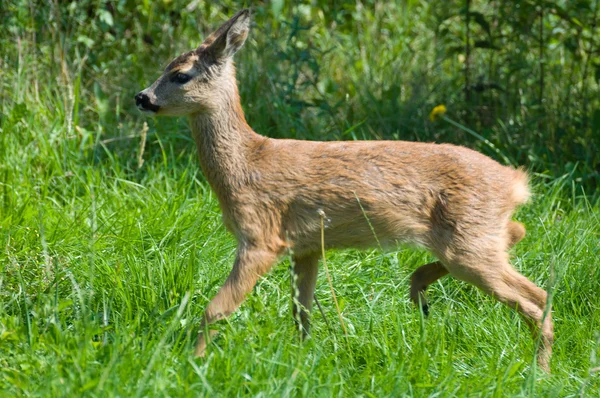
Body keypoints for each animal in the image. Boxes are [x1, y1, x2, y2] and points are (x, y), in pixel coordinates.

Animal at [136, 8, 552, 370]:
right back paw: (420, 289)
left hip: (470, 242)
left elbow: (216, 309)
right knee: (521, 247)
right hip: (473, 238)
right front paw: (302, 360)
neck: (247, 163)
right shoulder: (305, 247)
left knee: (536, 299)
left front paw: (191, 363)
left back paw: (540, 371)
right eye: (165, 68)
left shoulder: (260, 236)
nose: (141, 97)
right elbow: (300, 311)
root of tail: (515, 182)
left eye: (181, 75)